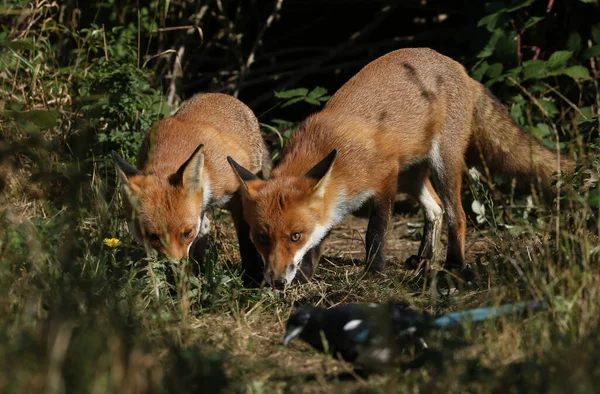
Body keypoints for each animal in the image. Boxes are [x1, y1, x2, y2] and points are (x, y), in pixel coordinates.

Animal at [111, 92, 270, 284]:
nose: (175, 268)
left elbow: (246, 240)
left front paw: (252, 278)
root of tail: (221, 95)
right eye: (153, 237)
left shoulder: (239, 190)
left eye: (187, 233)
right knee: (206, 227)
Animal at [227, 47, 576, 288]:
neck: (333, 153)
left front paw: (374, 271)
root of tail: (461, 69)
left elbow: (375, 233)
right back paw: (423, 259)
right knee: (434, 209)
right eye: (261, 237)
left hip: (442, 164)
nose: (275, 282)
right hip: (413, 175)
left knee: (457, 215)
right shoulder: (334, 203)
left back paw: (453, 264)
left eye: (295, 236)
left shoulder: (385, 179)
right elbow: (320, 239)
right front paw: (306, 276)